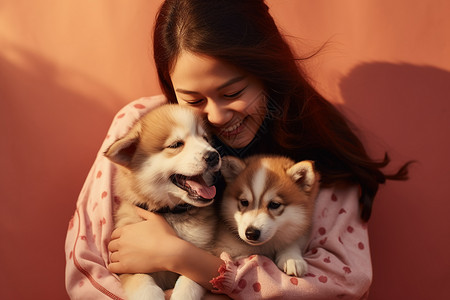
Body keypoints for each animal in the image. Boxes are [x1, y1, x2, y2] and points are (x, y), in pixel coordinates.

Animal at [104, 105, 221, 300]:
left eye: (205, 139)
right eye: (176, 145)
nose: (214, 155)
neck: (168, 213)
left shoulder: (203, 250)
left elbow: (189, 280)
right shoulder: (126, 261)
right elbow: (142, 281)